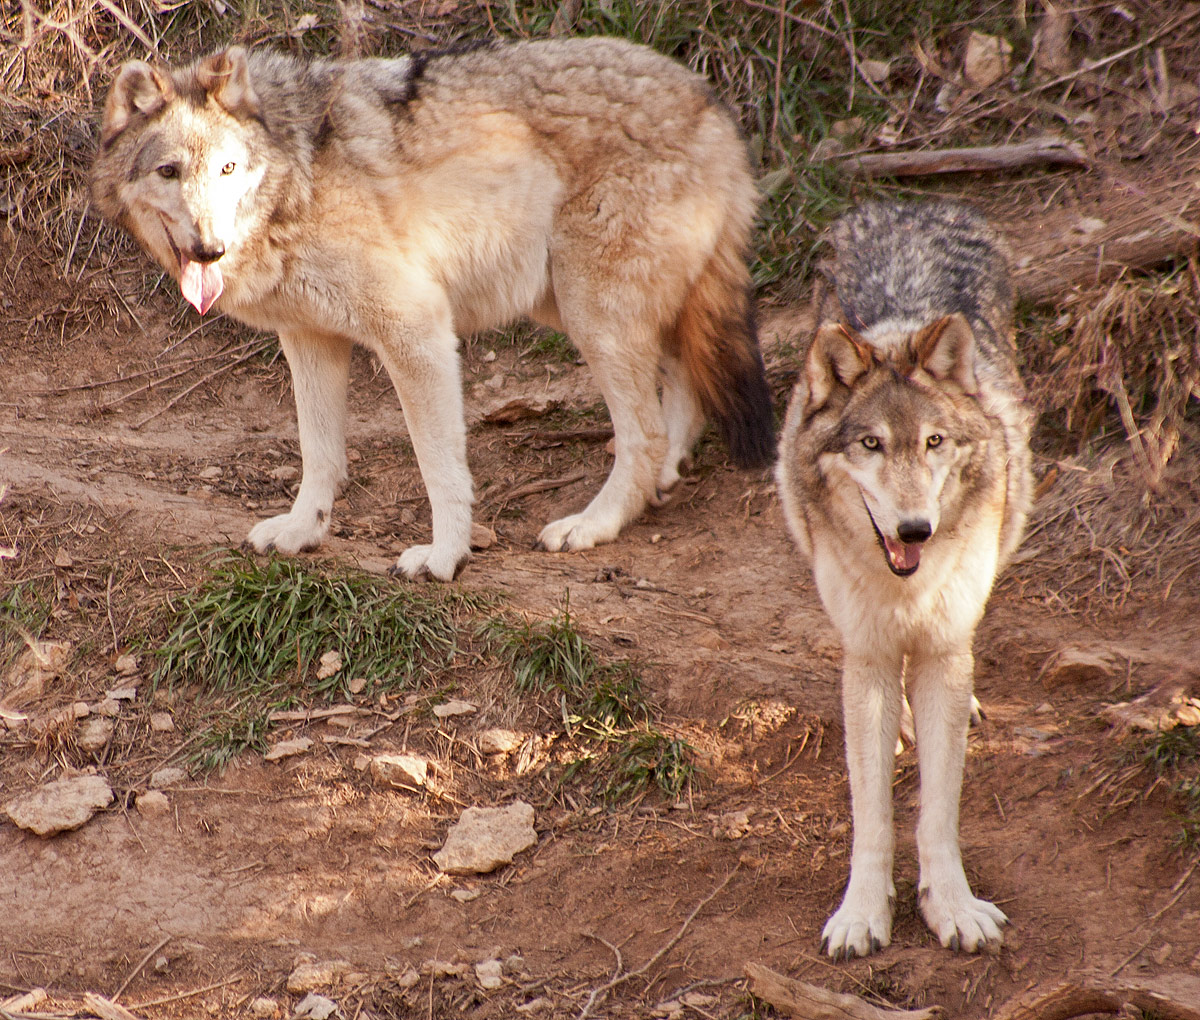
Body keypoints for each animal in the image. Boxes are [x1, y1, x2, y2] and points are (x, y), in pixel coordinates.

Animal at [91, 37, 775, 581]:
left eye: (229, 168)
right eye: (170, 171)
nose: (210, 247)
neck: (298, 179)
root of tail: (714, 103)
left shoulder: (415, 330)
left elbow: (439, 465)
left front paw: (446, 557)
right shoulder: (309, 338)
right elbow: (319, 452)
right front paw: (301, 532)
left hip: (591, 317)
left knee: (645, 434)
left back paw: (592, 524)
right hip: (576, 305)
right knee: (681, 387)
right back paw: (664, 482)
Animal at [776, 200, 1033, 958]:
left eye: (933, 443)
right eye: (871, 445)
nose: (916, 529)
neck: (904, 586)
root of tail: (907, 204)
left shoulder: (944, 645)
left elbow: (938, 810)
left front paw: (951, 905)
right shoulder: (865, 652)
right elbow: (872, 813)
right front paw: (862, 913)